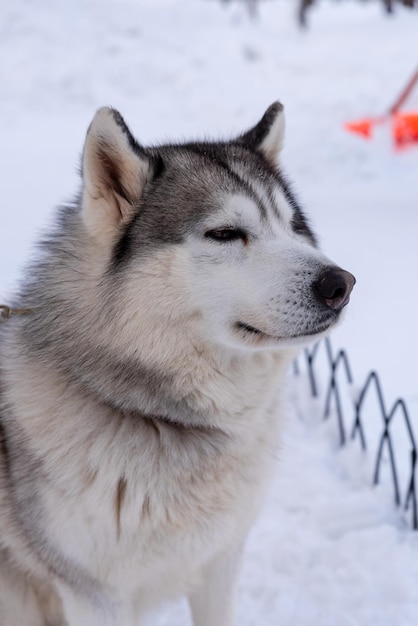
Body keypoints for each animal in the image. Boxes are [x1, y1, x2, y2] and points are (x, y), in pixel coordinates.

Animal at [0, 105, 354, 620]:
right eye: (225, 233)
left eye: (293, 226)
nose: (341, 284)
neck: (162, 419)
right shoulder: (93, 594)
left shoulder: (221, 561)